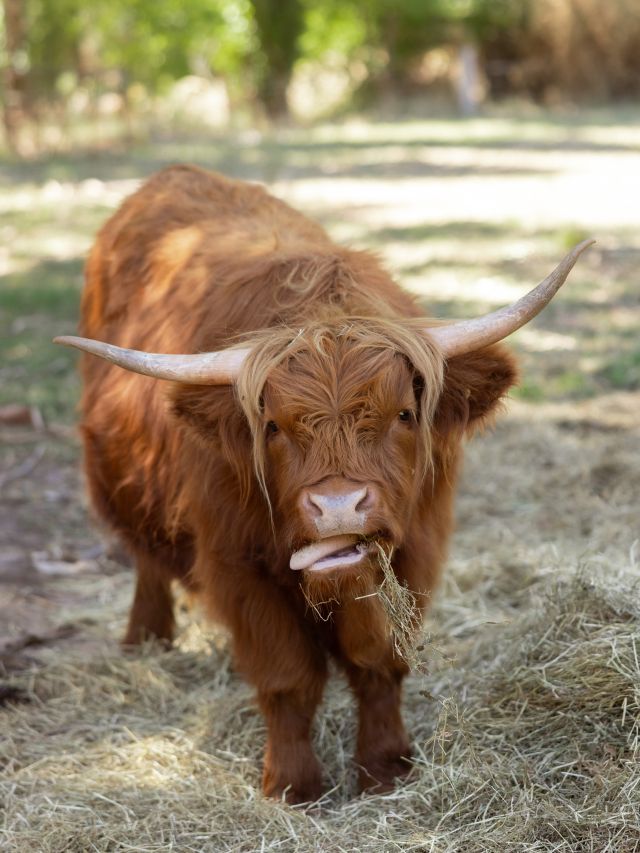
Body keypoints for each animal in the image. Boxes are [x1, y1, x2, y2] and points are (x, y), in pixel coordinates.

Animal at [55, 165, 591, 803]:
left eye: (403, 414)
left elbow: (380, 662)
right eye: (273, 426)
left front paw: (386, 768)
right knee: (146, 560)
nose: (338, 505)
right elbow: (287, 678)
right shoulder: (238, 565)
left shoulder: (417, 550)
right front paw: (293, 786)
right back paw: (146, 638)